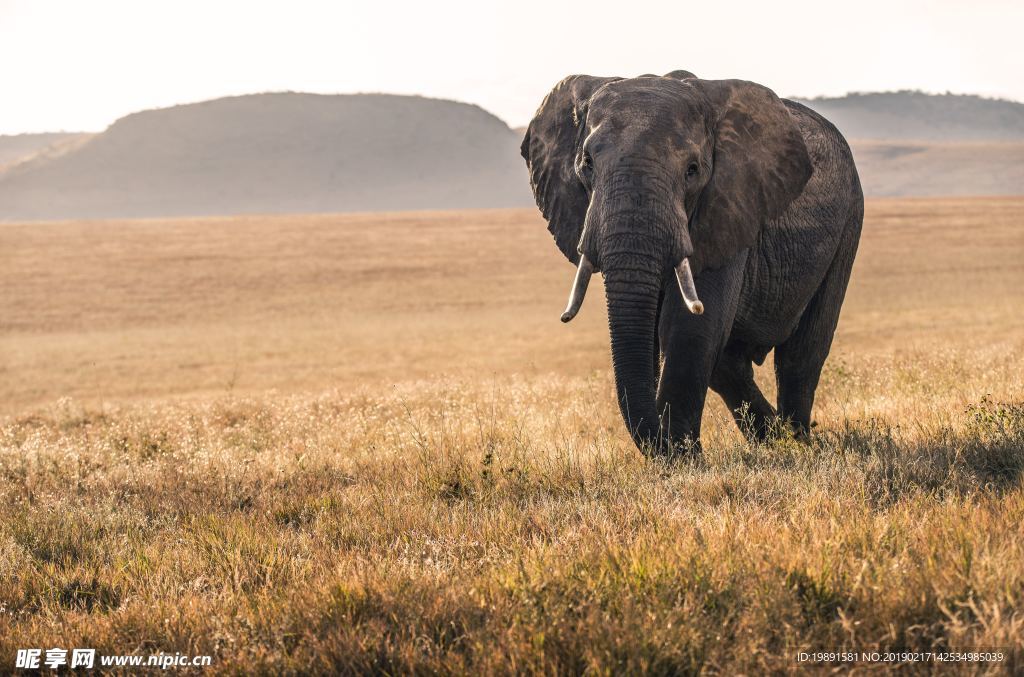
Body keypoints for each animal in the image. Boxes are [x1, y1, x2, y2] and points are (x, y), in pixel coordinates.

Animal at [520, 71, 864, 454]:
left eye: (692, 170)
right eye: (587, 164)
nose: (664, 443)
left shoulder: (728, 205)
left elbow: (689, 328)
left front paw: (683, 459)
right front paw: (678, 454)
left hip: (850, 219)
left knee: (801, 353)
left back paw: (797, 443)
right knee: (729, 364)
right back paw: (773, 441)